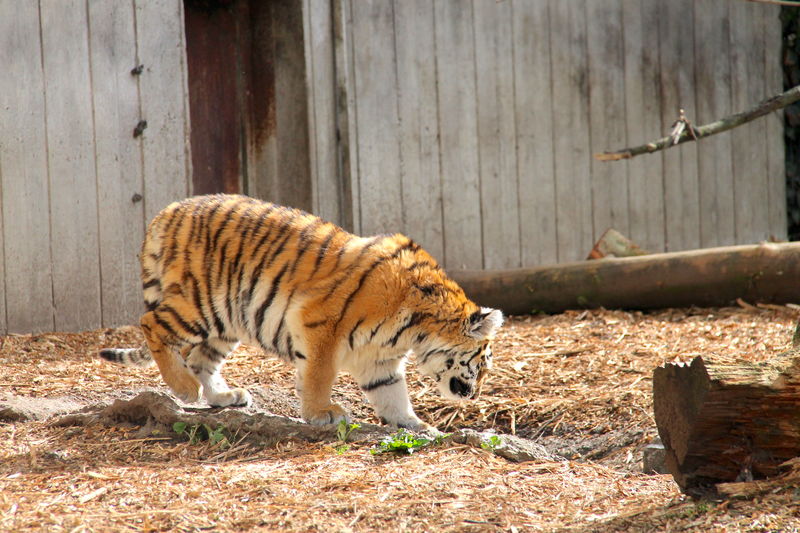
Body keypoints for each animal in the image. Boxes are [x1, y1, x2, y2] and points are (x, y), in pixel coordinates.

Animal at [100, 193, 500, 430]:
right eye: (482, 363)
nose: (476, 394)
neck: (414, 329)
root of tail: (166, 211)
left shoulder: (379, 360)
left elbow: (392, 394)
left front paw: (417, 426)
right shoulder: (320, 323)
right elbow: (319, 374)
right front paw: (323, 414)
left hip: (226, 318)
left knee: (200, 358)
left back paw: (222, 397)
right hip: (199, 303)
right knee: (151, 325)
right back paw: (184, 388)